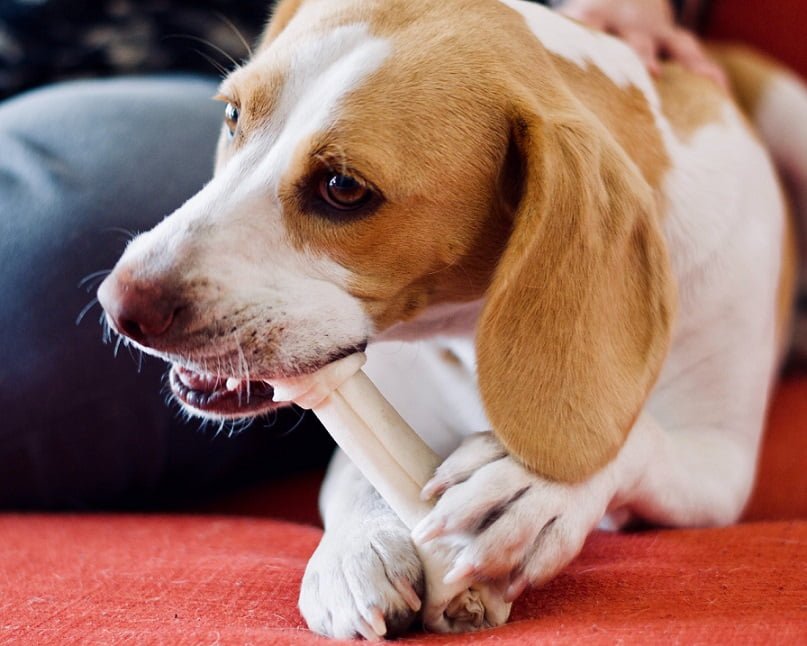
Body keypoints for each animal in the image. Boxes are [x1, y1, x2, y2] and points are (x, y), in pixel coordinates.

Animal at [96, 0, 807, 640]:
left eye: (344, 188)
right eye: (232, 115)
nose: (118, 304)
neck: (462, 332)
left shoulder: (720, 465)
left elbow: (633, 441)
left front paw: (532, 485)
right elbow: (357, 474)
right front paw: (356, 549)